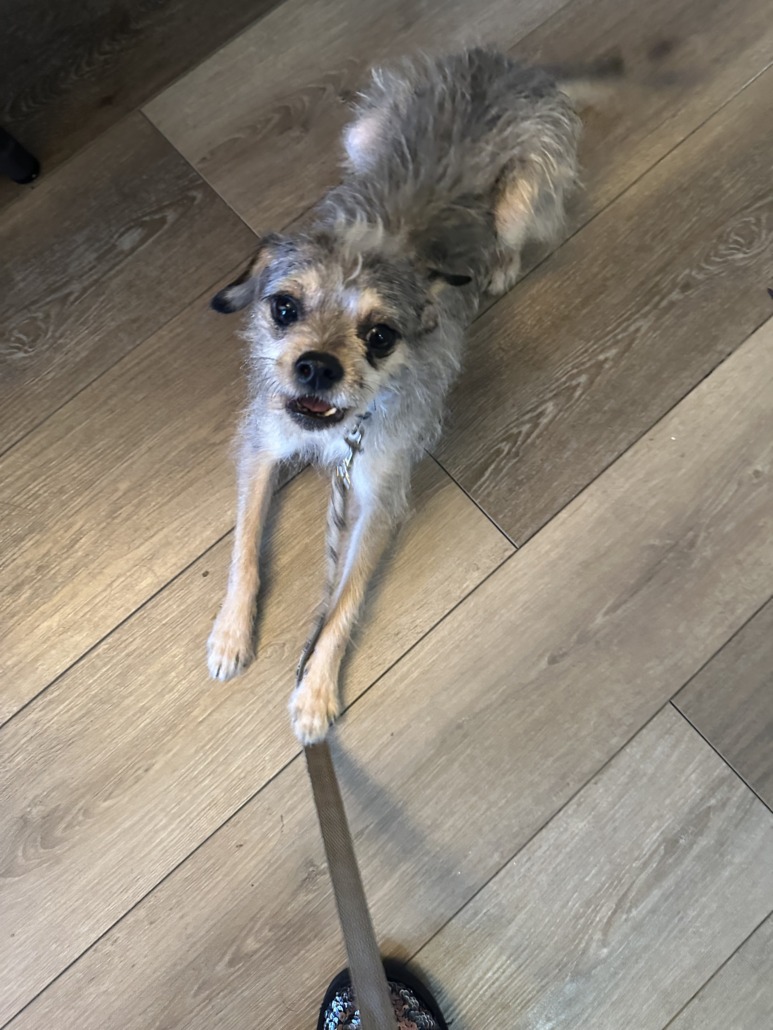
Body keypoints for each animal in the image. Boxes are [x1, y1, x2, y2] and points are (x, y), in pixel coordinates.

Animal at [206, 47, 621, 744]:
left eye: (380, 336)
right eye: (283, 307)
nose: (316, 367)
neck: (338, 430)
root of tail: (511, 66)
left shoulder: (379, 497)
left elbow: (342, 602)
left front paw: (315, 691)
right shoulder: (263, 447)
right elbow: (245, 545)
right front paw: (232, 634)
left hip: (523, 191)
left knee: (514, 229)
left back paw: (498, 267)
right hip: (362, 131)